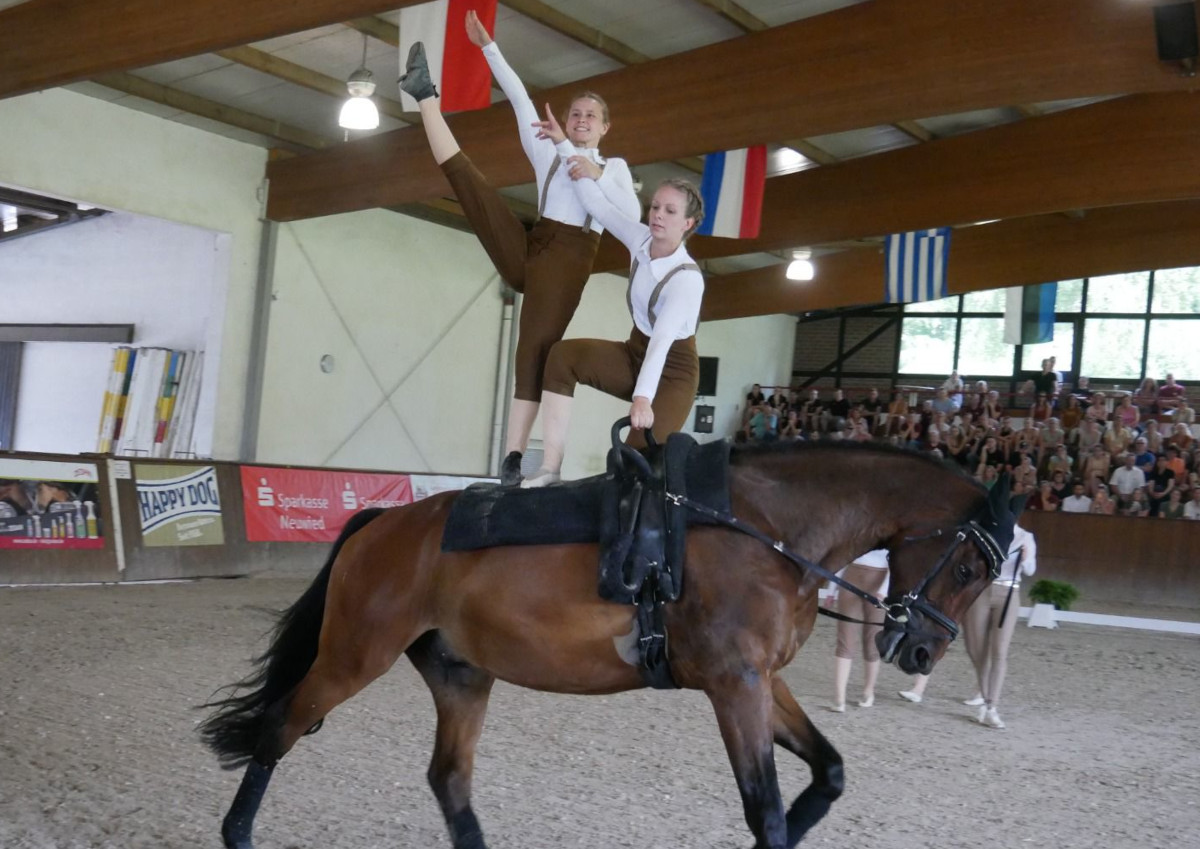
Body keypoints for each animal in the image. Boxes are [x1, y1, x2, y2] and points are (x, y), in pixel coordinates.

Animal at [204, 443, 1012, 849]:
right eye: (969, 568)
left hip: (462, 674)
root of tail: (384, 522)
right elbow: (768, 809)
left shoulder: (763, 680)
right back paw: (237, 833)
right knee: (279, 728)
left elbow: (830, 774)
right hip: (353, 655)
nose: (921, 653)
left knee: (449, 779)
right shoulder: (736, 685)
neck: (763, 528)